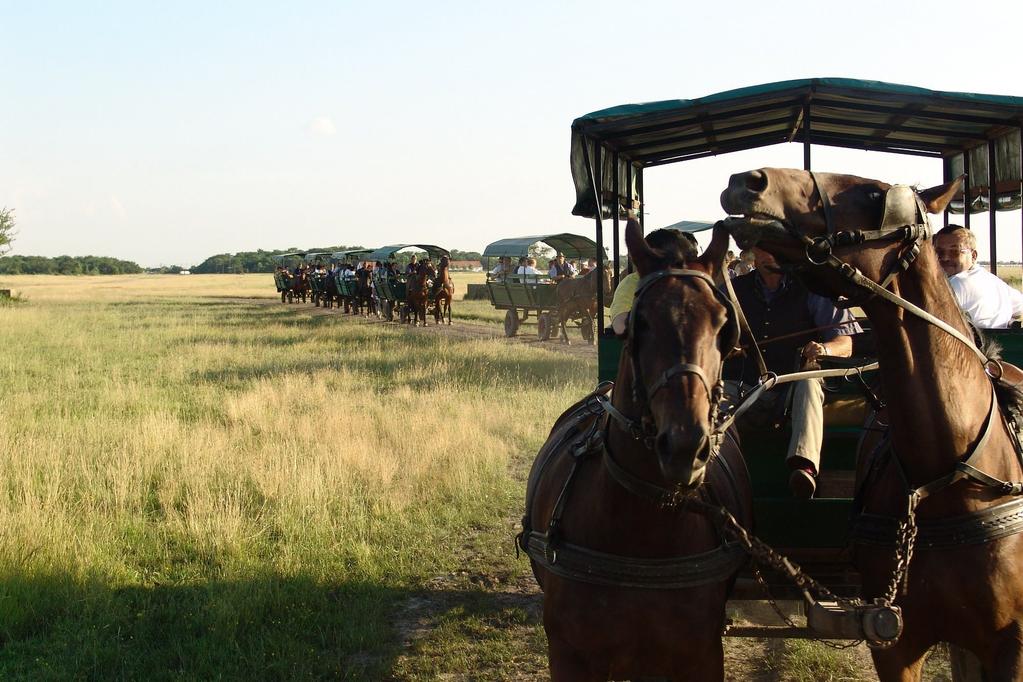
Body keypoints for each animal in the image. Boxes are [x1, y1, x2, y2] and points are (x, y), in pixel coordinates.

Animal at [523, 219, 757, 682]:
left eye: (724, 325)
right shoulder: (570, 655)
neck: (642, 524)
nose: (685, 445)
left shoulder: (701, 656)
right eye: (640, 321)